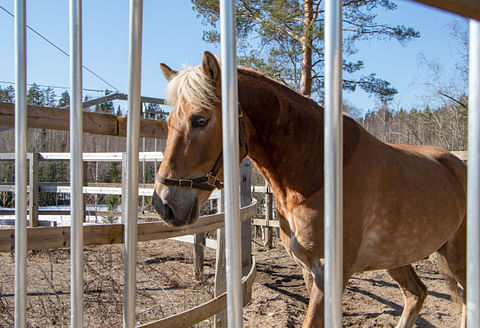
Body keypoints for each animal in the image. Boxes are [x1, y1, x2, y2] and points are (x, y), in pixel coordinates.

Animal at [152, 51, 466, 328]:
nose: (164, 204)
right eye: (168, 122)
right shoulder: (308, 270)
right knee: (417, 294)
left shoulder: (330, 273)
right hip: (399, 257)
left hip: (456, 255)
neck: (317, 173)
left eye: (200, 120)